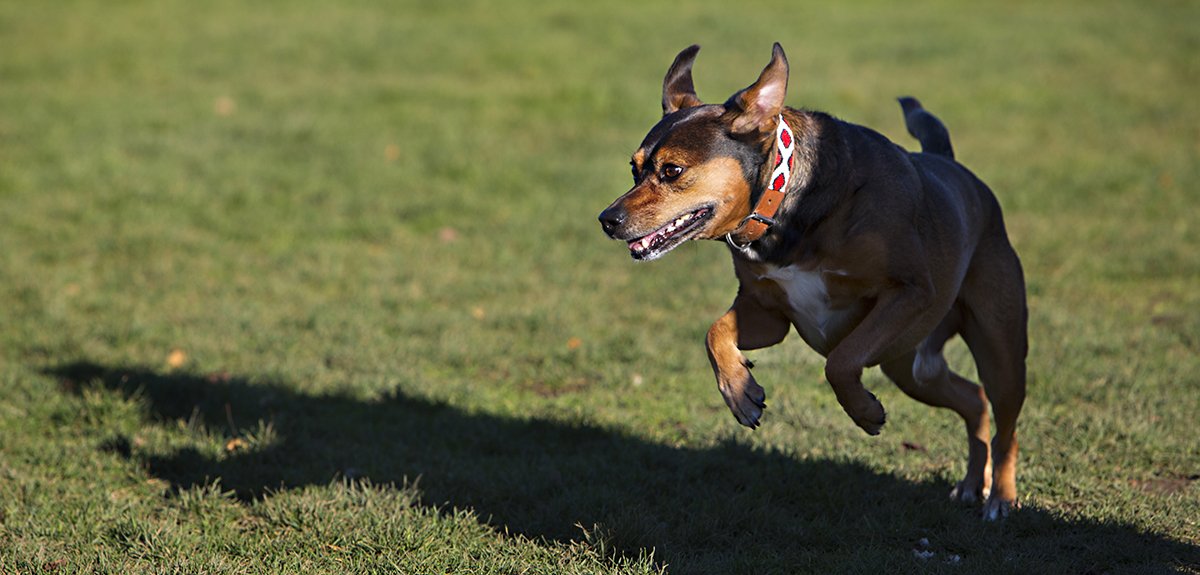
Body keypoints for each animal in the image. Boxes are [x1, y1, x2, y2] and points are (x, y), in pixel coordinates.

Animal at [600, 43, 1032, 523]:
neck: (785, 204)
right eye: (634, 168)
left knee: (1004, 419)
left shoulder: (911, 293)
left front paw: (865, 412)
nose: (607, 220)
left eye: (672, 171)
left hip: (997, 347)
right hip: (911, 367)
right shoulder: (766, 313)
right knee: (974, 399)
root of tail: (953, 166)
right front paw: (742, 393)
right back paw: (974, 483)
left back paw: (1000, 497)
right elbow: (714, 333)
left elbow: (840, 362)